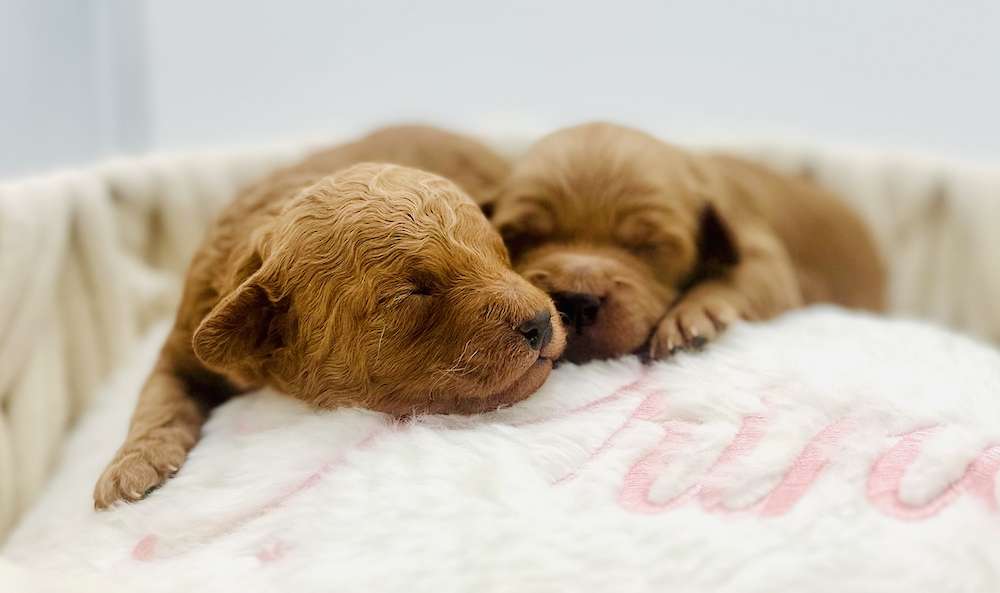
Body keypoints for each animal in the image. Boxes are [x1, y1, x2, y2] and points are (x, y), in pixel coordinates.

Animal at [94, 127, 568, 506]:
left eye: (501, 252)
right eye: (413, 293)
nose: (541, 322)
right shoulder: (183, 338)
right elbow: (158, 397)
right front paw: (130, 468)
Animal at [488, 121, 888, 360]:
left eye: (651, 246)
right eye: (521, 235)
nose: (577, 301)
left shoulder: (764, 256)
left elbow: (735, 277)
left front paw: (692, 316)